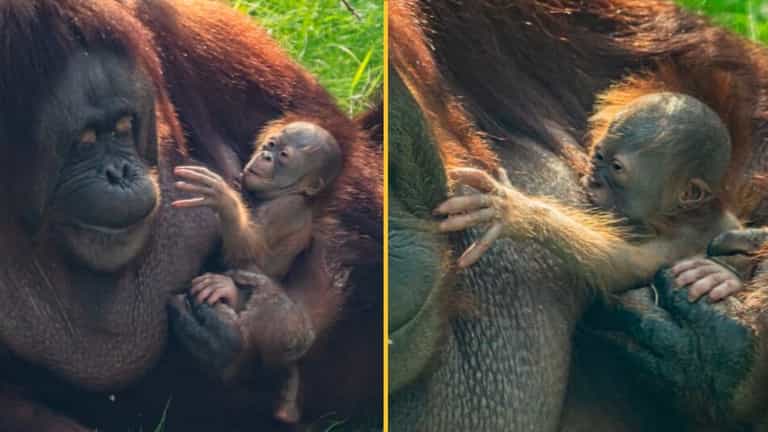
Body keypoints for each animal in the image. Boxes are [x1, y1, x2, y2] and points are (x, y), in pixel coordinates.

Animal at [172, 120, 343, 424]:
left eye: (283, 157)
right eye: (270, 145)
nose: (265, 156)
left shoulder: (286, 208)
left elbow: (251, 251)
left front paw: (223, 200)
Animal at [435, 92, 751, 299]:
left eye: (617, 167)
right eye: (599, 155)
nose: (594, 177)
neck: (680, 216)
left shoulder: (674, 242)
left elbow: (623, 263)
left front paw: (515, 211)